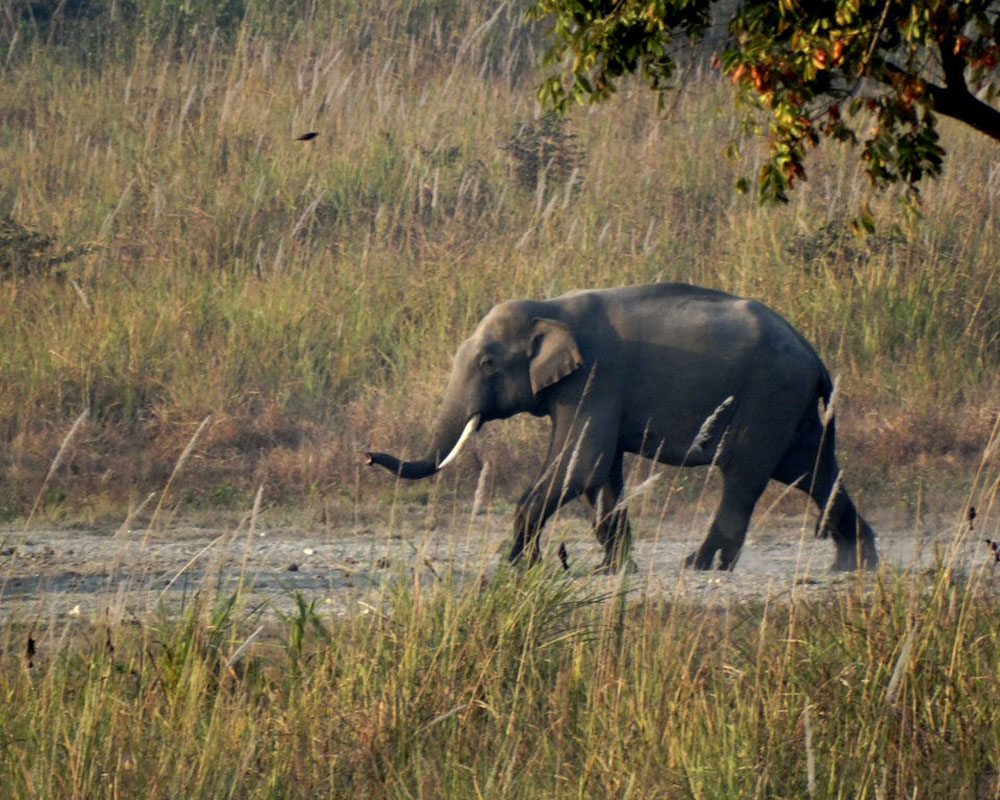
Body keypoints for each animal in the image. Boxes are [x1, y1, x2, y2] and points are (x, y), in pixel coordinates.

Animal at [364, 280, 880, 568]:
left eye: (488, 364)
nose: (367, 455)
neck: (548, 306)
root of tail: (814, 356)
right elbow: (600, 473)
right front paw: (613, 569)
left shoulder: (595, 377)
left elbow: (580, 462)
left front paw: (515, 566)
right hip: (793, 408)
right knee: (812, 471)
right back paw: (853, 565)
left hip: (769, 397)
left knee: (746, 474)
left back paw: (701, 565)